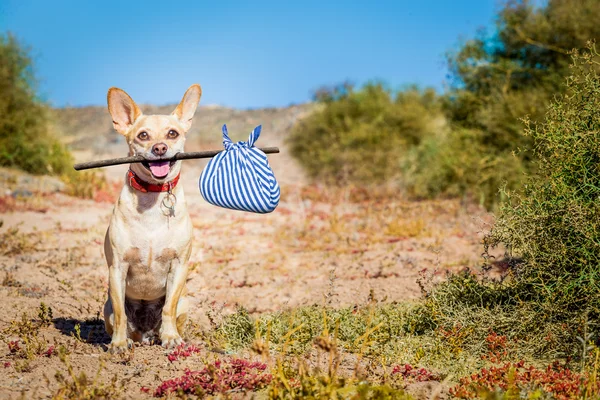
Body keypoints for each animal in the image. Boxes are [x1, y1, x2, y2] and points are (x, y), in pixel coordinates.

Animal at [100, 84, 199, 354]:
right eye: (143, 136)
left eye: (172, 133)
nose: (160, 148)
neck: (152, 199)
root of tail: (144, 333)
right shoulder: (117, 268)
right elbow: (122, 314)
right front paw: (118, 344)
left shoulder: (179, 266)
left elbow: (168, 308)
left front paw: (171, 338)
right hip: (106, 307)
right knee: (122, 319)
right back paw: (128, 340)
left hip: (186, 302)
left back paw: (163, 335)